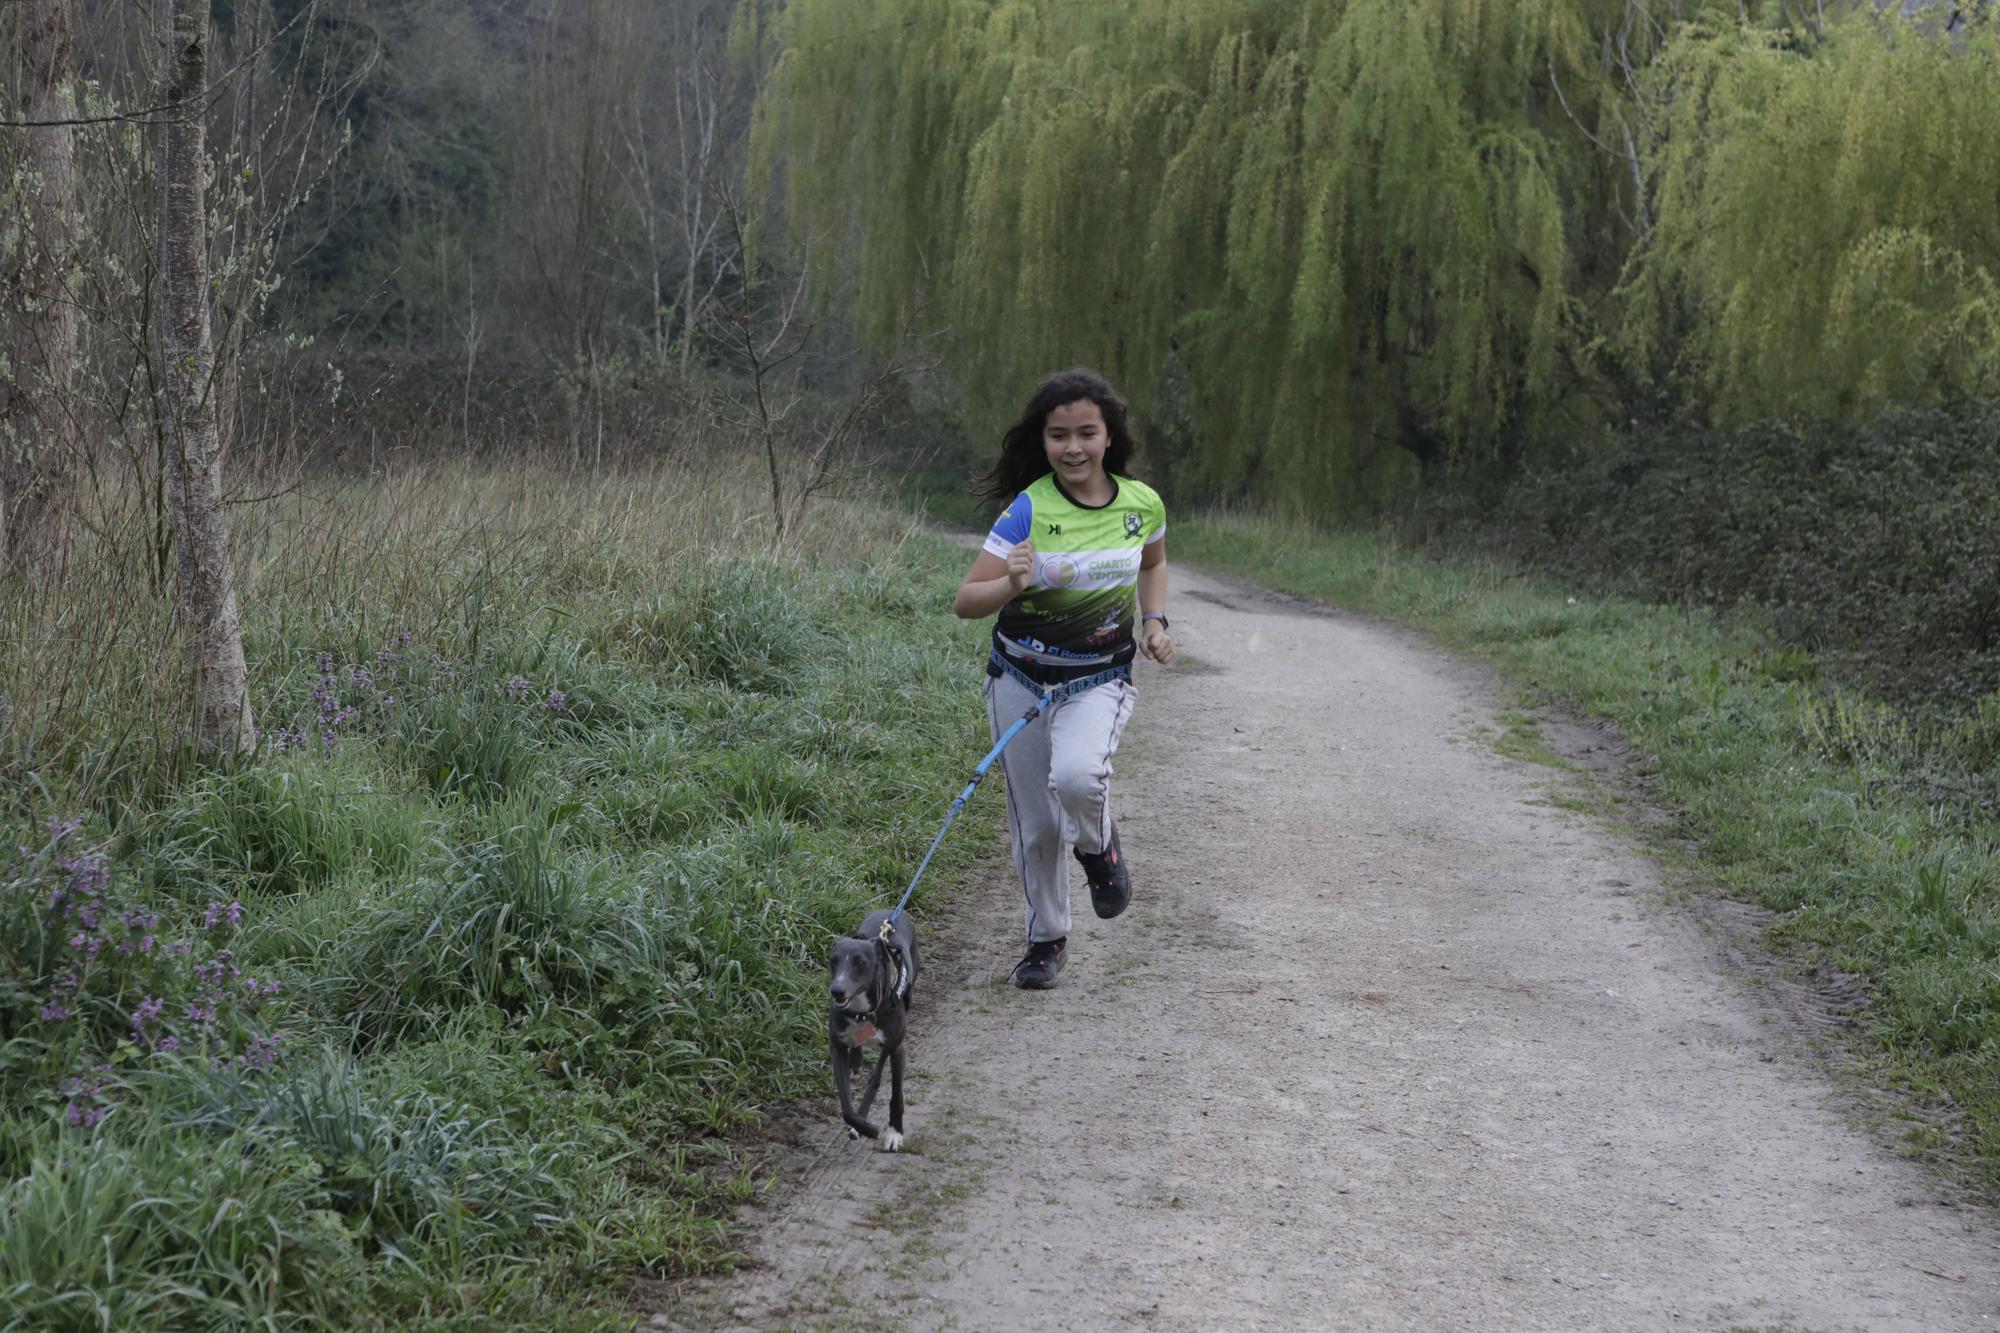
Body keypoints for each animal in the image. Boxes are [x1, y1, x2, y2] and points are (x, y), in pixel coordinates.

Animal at [824, 908, 916, 1144]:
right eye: (832, 961)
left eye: (860, 963)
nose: (837, 990)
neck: (862, 1013)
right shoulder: (837, 1046)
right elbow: (846, 1106)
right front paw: (865, 1127)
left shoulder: (895, 1048)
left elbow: (889, 1090)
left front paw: (894, 1132)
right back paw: (856, 1062)